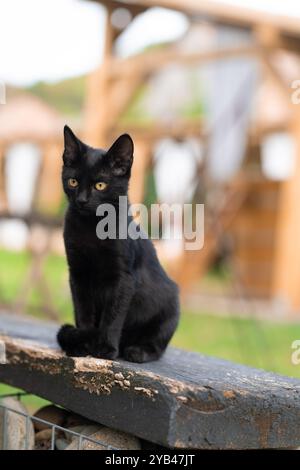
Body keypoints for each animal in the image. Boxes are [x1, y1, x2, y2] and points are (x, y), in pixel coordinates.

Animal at [56, 126, 180, 364]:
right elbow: (84, 312)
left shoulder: (124, 278)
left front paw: (105, 347)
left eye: (100, 185)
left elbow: (113, 316)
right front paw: (82, 342)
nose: (82, 201)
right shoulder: (77, 273)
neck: (92, 228)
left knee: (158, 345)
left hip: (169, 311)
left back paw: (136, 351)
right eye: (73, 182)